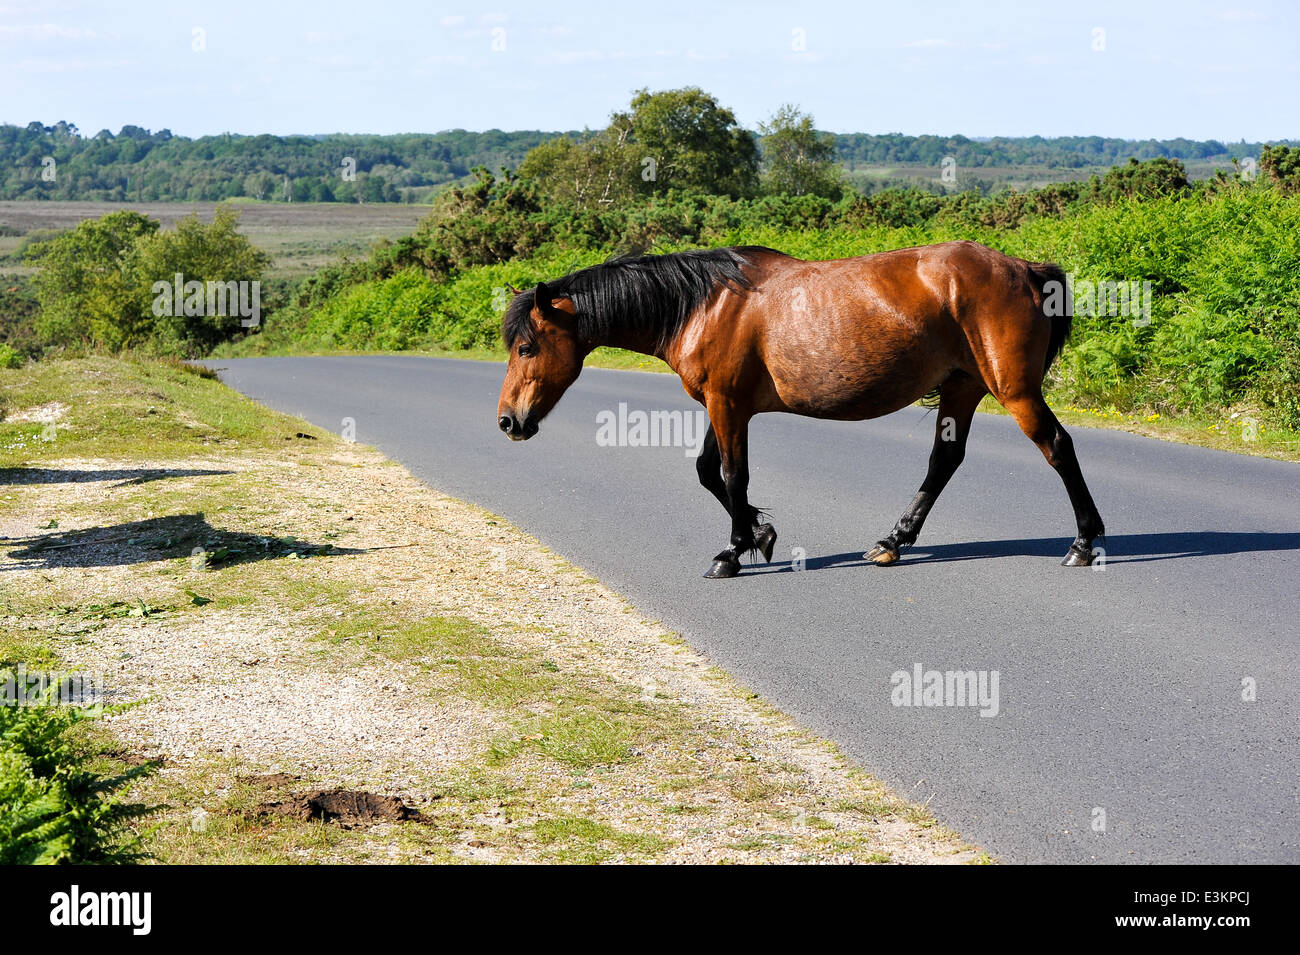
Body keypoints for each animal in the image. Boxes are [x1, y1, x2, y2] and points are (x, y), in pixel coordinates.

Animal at [491, 242, 1102, 579]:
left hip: (1013, 390)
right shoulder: (724, 406)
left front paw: (733, 552)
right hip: (962, 389)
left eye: (526, 348)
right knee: (943, 461)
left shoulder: (727, 406)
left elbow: (732, 476)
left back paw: (1082, 543)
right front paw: (759, 534)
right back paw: (891, 542)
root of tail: (1025, 268)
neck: (705, 304)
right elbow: (709, 473)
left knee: (1057, 447)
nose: (508, 422)